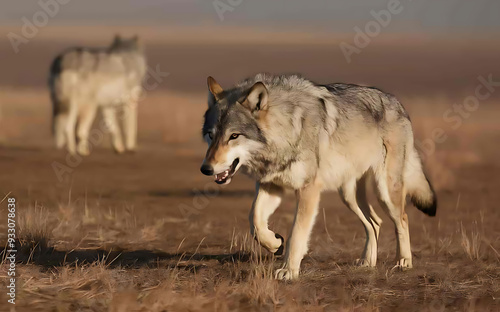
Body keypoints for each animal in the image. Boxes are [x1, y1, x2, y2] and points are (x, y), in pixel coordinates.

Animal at [201, 73, 436, 280]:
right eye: (211, 135)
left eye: (233, 136)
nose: (206, 169)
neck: (287, 129)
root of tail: (398, 103)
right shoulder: (271, 185)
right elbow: (256, 221)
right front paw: (276, 244)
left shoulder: (309, 189)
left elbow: (297, 233)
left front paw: (289, 271)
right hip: (349, 195)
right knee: (375, 222)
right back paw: (368, 262)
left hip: (385, 191)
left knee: (402, 219)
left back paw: (404, 262)